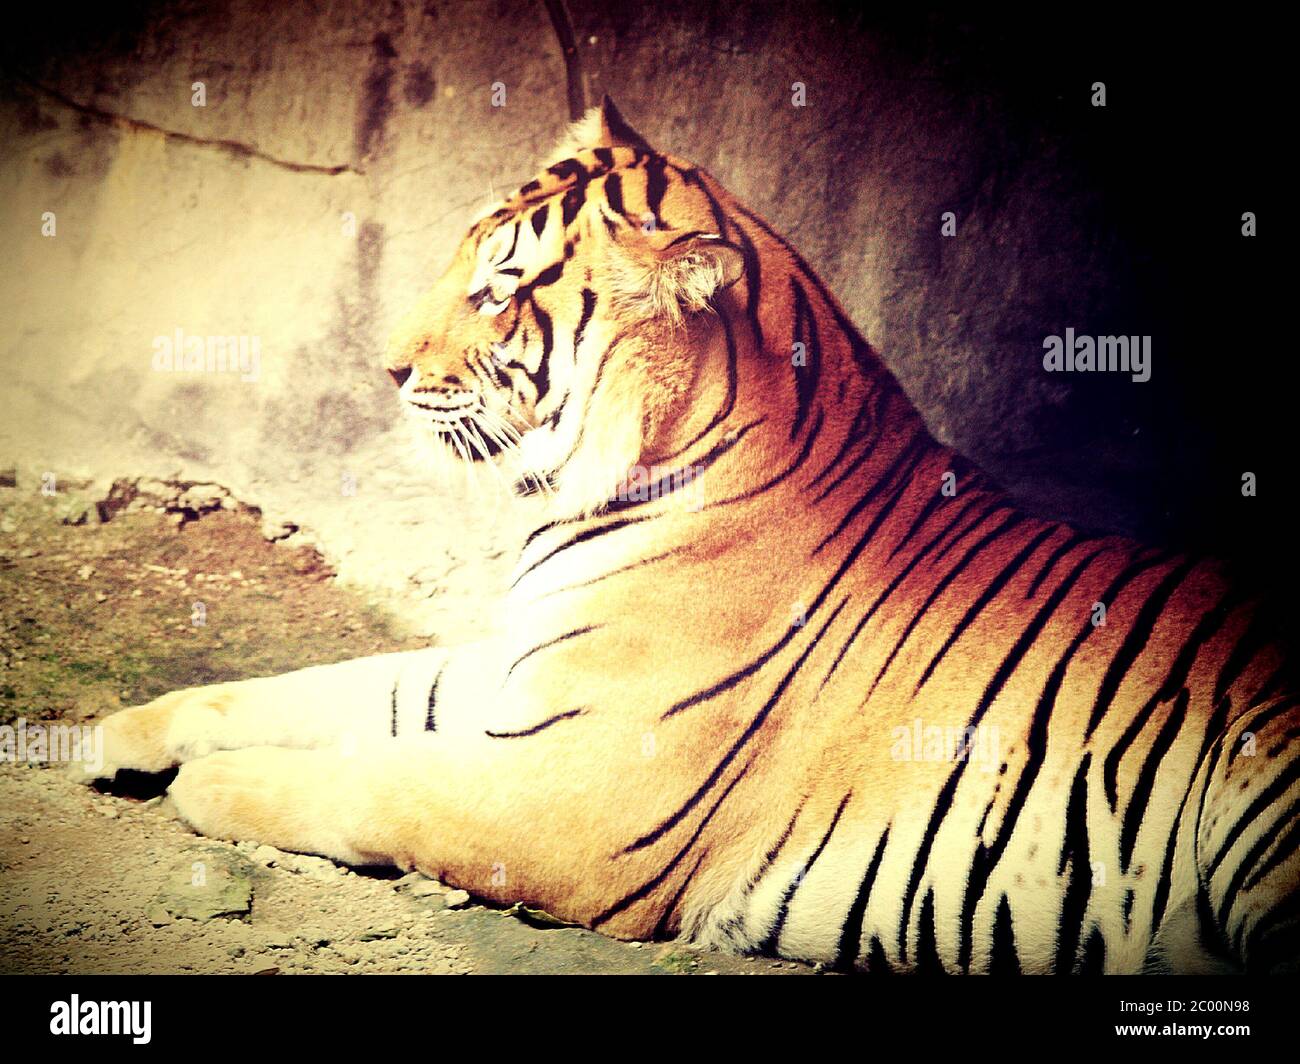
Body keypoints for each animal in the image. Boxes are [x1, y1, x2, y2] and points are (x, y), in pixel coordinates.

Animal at [86, 98, 1300, 974]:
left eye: (499, 291)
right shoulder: (516, 677)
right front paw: (117, 734)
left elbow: (373, 780)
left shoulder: (571, 787)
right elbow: (323, 687)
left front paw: (211, 789)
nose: (384, 368)